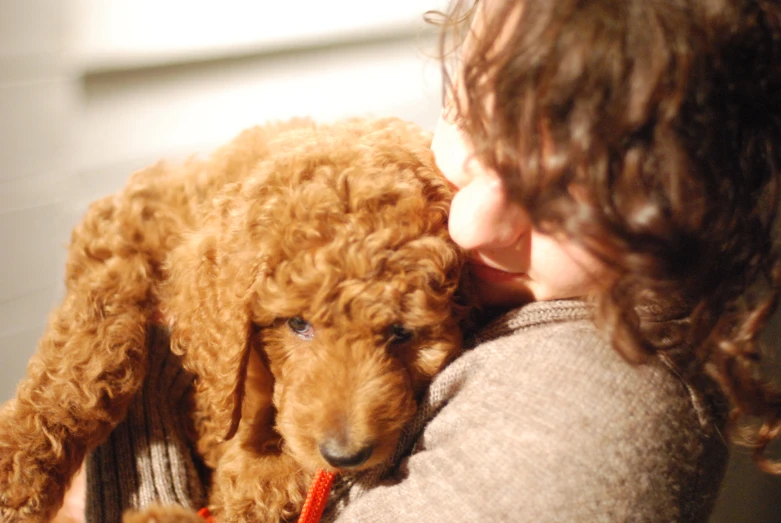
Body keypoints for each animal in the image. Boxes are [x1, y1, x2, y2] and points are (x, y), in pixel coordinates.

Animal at [0, 116, 466, 520]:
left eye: (402, 332)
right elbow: (87, 347)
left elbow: (269, 476)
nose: (344, 454)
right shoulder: (125, 224)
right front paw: (15, 473)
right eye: (298, 323)